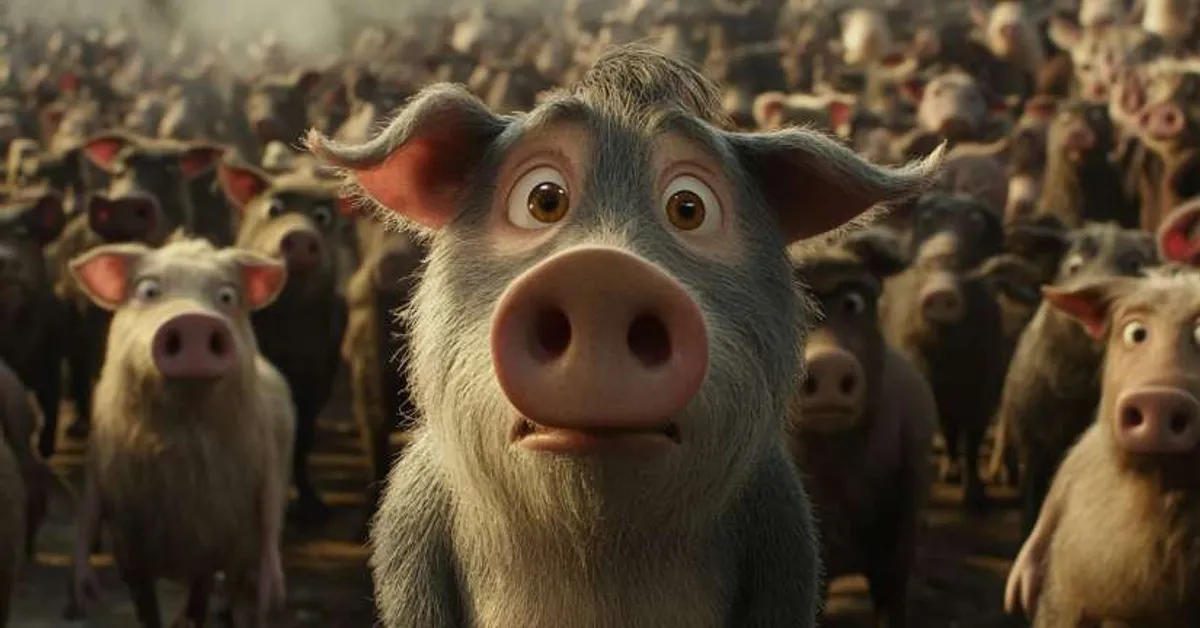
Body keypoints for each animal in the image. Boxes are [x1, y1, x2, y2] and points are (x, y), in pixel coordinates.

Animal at [65, 237, 294, 627]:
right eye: (148, 290)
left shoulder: (215, 539)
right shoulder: (127, 544)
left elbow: (266, 512)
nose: (193, 321)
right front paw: (85, 595)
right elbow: (88, 512)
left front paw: (274, 597)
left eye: (227, 296)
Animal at [217, 161, 350, 521]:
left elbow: (303, 437)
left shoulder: (319, 376)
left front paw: (315, 511)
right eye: (274, 210)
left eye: (322, 216)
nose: (301, 235)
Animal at [880, 191, 1042, 511]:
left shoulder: (984, 388)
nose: (942, 292)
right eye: (926, 220)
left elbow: (974, 440)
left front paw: (976, 495)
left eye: (976, 225)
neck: (948, 350)